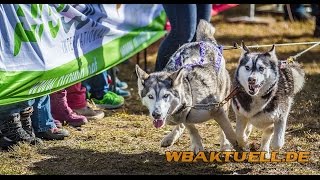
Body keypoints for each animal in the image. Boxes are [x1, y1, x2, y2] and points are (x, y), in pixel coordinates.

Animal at [136, 19, 240, 153]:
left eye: (165, 96)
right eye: (150, 96)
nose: (156, 114)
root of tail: (204, 41)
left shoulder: (217, 109)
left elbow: (227, 130)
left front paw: (234, 146)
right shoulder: (182, 115)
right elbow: (190, 127)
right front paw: (197, 144)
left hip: (224, 96)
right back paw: (170, 137)